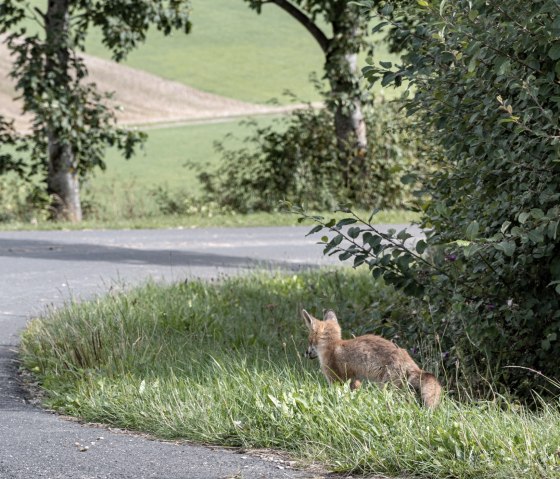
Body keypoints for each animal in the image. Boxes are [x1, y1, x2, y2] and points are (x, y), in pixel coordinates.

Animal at [302, 310, 442, 406]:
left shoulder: (335, 379)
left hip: (388, 387)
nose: (306, 353)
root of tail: (408, 360)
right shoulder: (354, 380)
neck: (333, 345)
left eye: (309, 340)